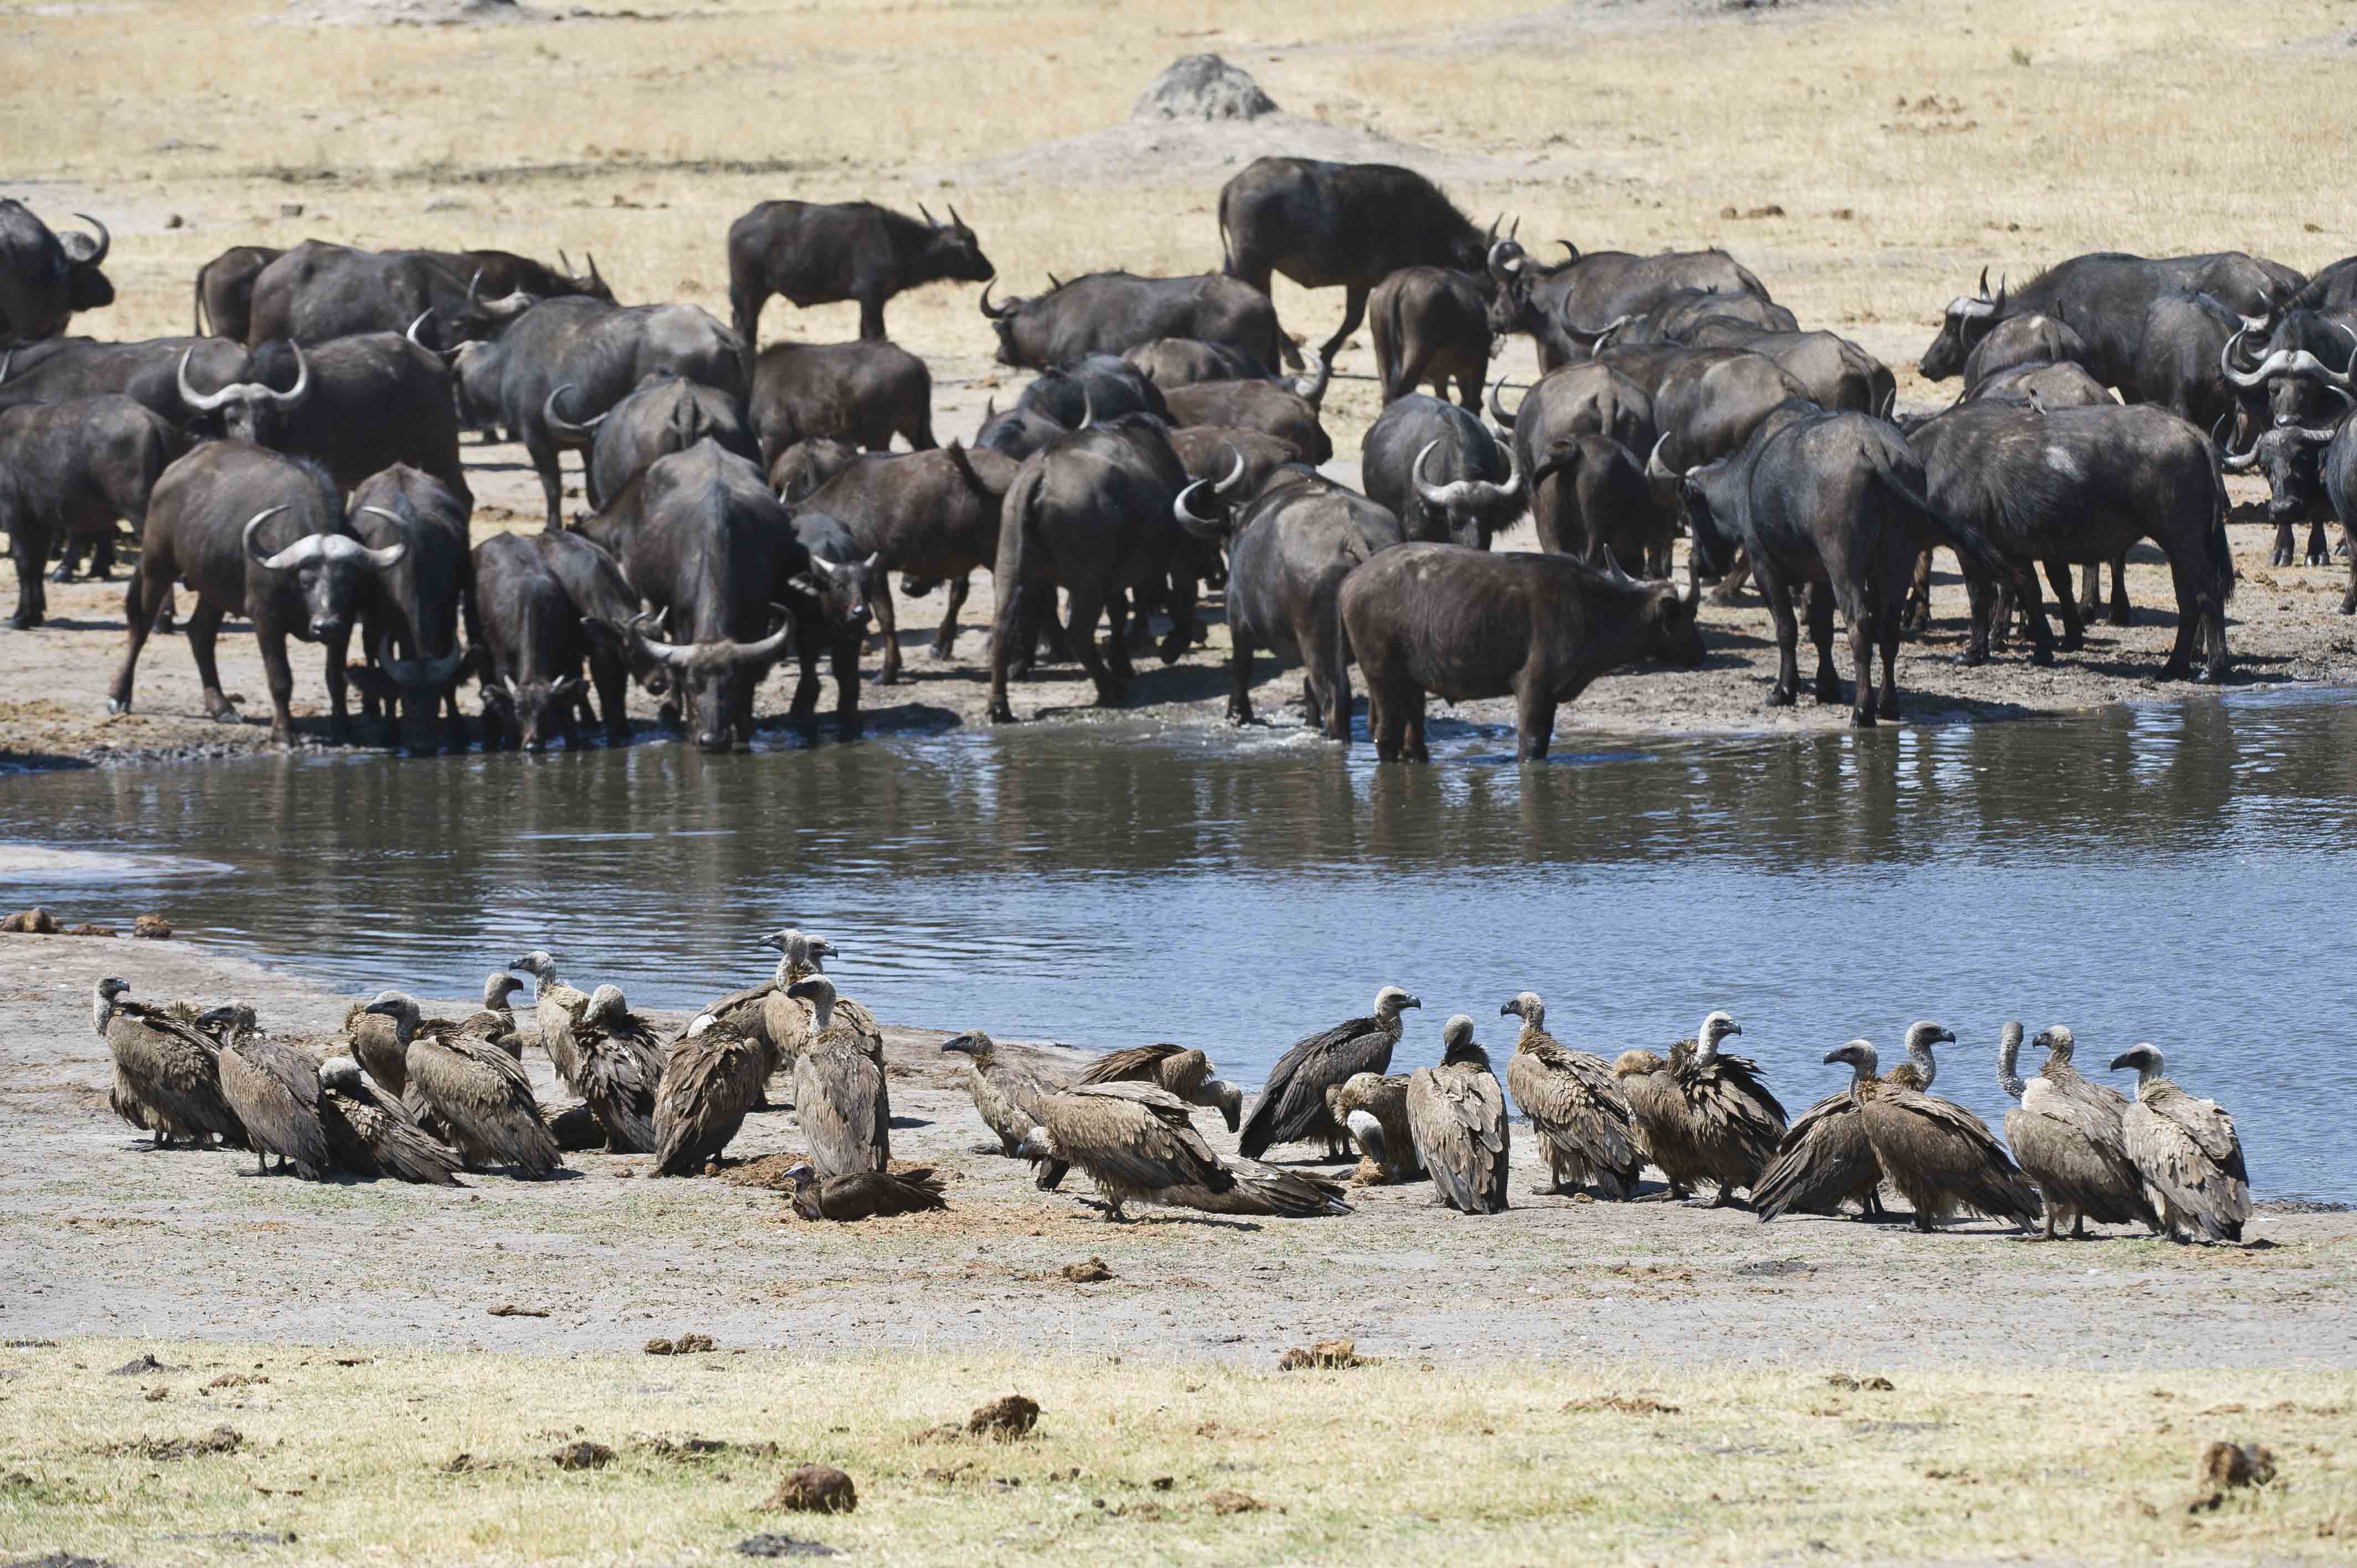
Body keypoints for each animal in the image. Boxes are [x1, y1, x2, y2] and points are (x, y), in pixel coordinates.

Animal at [1339, 543, 1703, 761]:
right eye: (1687, 614)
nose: (1700, 653)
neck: (1592, 607)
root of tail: (1350, 581)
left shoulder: (1551, 696)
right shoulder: (1534, 689)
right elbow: (1531, 744)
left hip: (1412, 684)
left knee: (1413, 738)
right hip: (1382, 678)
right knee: (1386, 736)